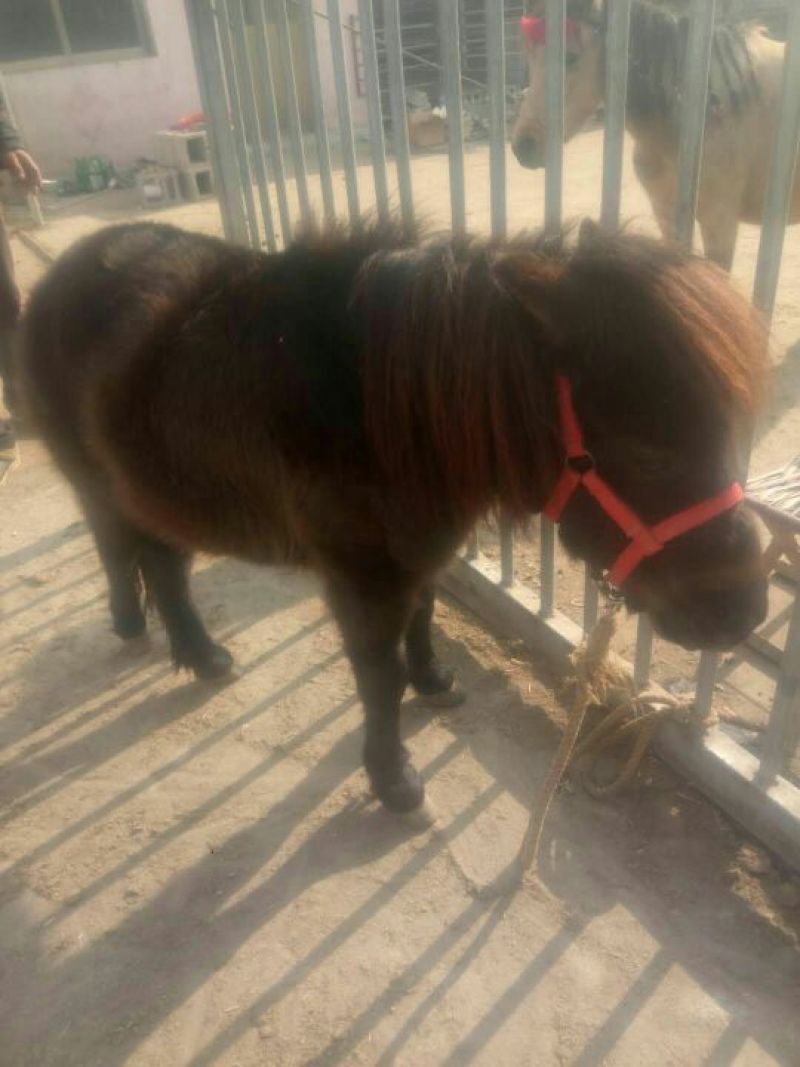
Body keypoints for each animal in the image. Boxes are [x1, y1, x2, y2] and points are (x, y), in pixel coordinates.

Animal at [18, 217, 768, 814]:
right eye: (650, 450)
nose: (746, 610)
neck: (387, 415)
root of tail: (65, 271)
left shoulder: (418, 554)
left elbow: (424, 616)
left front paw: (433, 681)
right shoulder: (362, 577)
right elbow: (378, 679)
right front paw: (393, 778)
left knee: (159, 561)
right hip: (100, 485)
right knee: (133, 555)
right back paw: (166, 637)